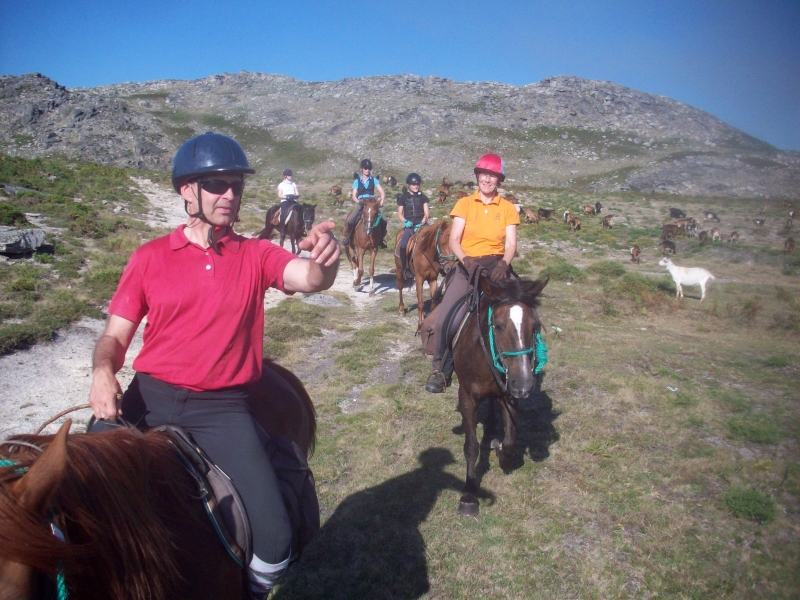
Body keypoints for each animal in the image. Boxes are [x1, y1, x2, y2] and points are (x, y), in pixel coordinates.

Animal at [450, 276, 552, 516]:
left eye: (535, 326)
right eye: (497, 326)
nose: (524, 383)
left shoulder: (510, 396)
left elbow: (510, 441)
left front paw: (500, 454)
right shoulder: (467, 398)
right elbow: (471, 447)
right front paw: (469, 495)